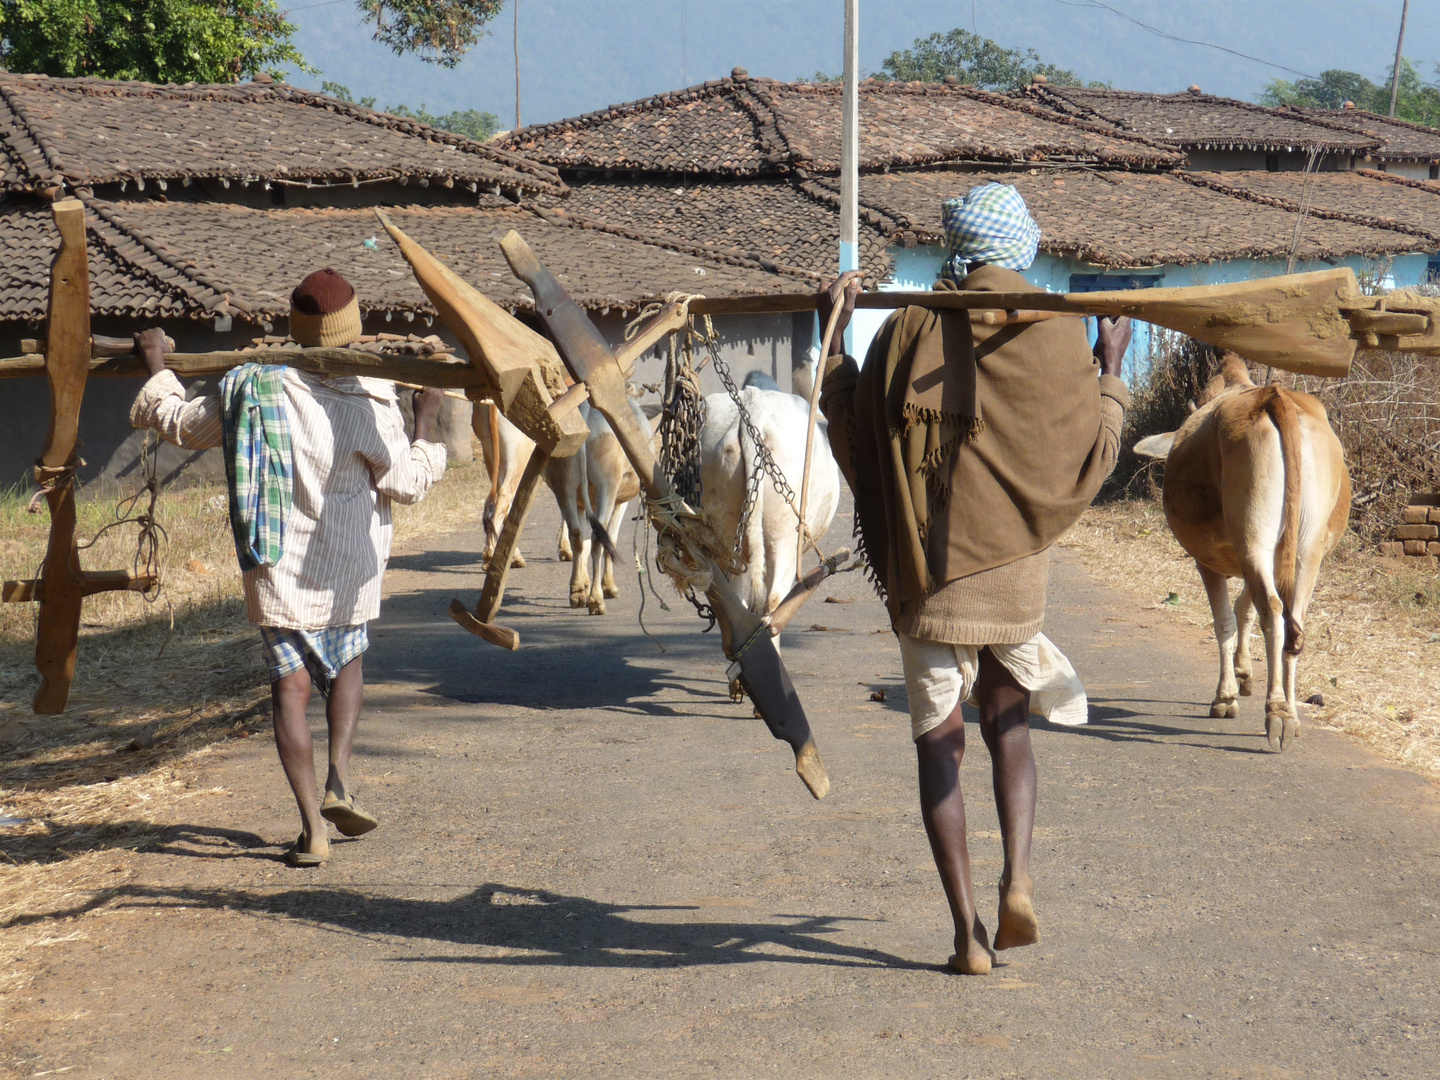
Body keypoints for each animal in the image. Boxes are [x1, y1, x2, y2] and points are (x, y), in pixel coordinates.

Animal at [1134, 355, 1347, 754]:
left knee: (1274, 612)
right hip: (1303, 549)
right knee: (1291, 618)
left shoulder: (1209, 561)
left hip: (1254, 538)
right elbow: (1243, 609)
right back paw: (1291, 712)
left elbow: (1225, 621)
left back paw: (1277, 713)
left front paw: (1226, 695)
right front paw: (1244, 674)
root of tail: (1274, 396)